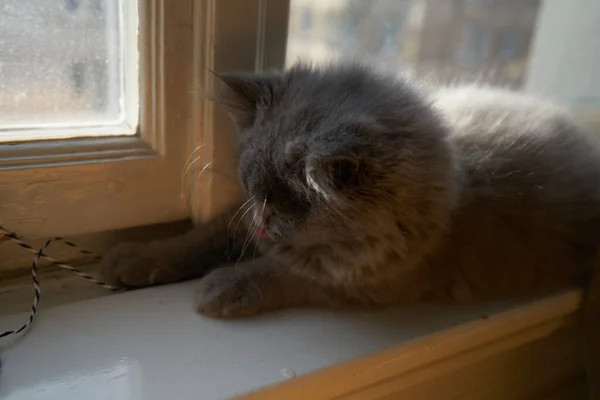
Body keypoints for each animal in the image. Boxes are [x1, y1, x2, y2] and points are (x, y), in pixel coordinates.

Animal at [101, 63, 596, 396]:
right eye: (253, 186)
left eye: (292, 203)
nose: (263, 220)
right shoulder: (238, 223)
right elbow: (198, 239)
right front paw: (138, 257)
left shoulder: (354, 279)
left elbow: (278, 274)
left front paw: (222, 287)